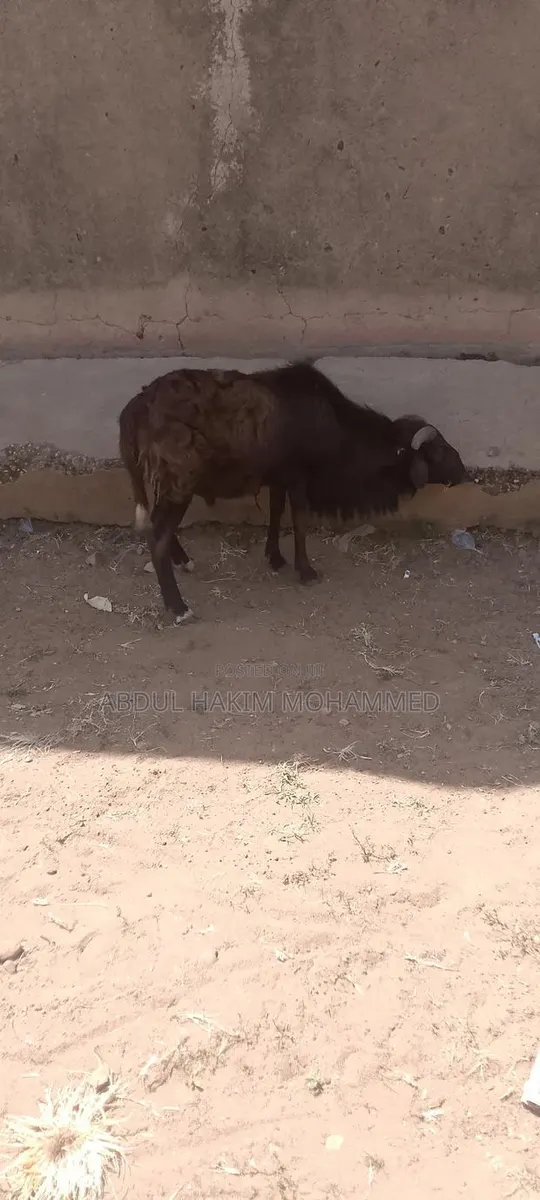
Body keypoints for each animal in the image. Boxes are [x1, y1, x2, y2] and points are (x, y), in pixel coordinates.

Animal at [118, 362, 467, 623]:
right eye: (438, 451)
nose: (464, 472)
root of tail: (134, 410)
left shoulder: (279, 477)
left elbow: (275, 512)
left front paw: (275, 557)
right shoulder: (300, 478)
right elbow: (299, 520)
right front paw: (306, 570)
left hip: (167, 486)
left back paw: (183, 561)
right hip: (178, 482)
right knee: (157, 537)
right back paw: (178, 607)